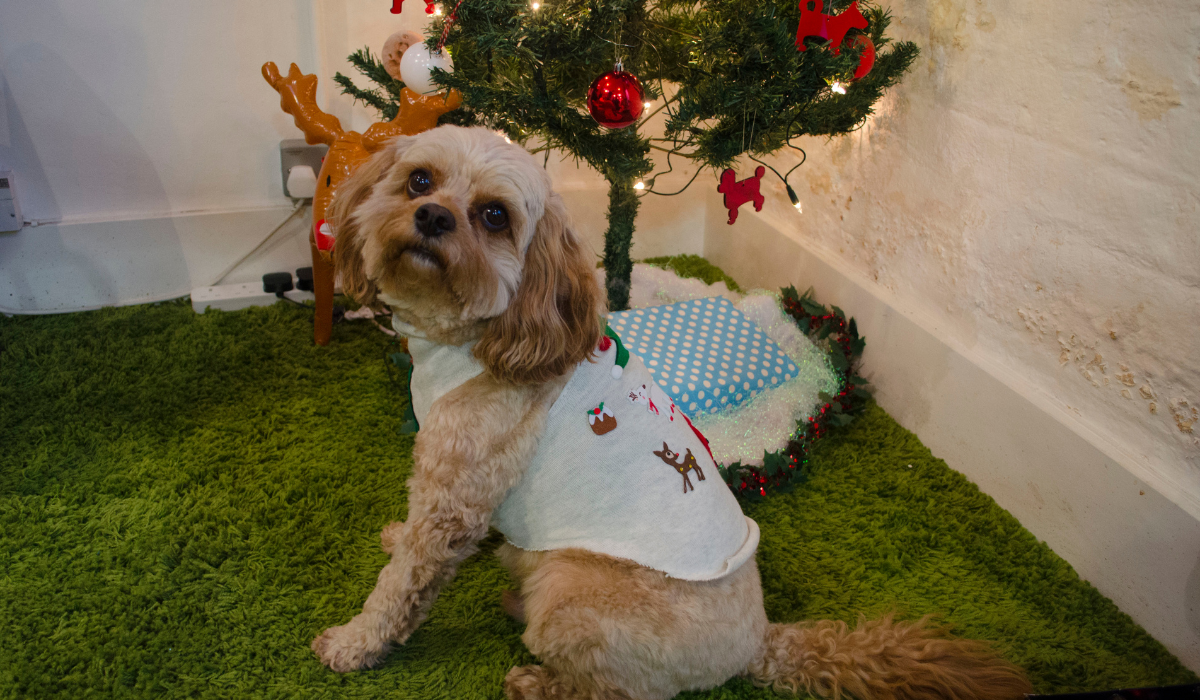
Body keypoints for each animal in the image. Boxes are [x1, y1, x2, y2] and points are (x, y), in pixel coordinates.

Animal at [312, 126, 1032, 700]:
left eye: (493, 215)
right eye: (419, 179)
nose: (432, 216)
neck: (479, 338)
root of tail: (761, 640)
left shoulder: (455, 496)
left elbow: (401, 586)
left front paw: (353, 643)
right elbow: (411, 545)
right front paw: (393, 540)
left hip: (572, 595)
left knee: (620, 693)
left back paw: (537, 680)